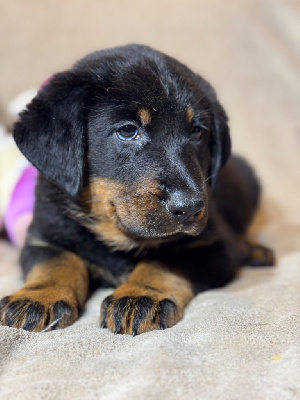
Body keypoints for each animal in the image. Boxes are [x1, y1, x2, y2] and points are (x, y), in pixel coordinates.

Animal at [0, 44, 274, 334]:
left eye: (197, 131)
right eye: (128, 131)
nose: (189, 208)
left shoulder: (214, 245)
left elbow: (165, 260)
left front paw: (140, 295)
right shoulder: (44, 233)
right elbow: (56, 261)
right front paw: (38, 296)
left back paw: (253, 249)